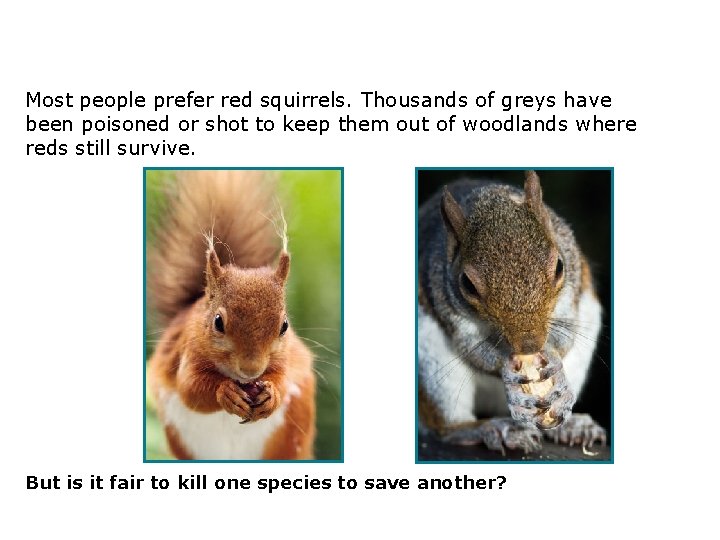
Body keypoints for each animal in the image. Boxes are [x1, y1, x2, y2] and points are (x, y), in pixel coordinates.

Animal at [147, 170, 315, 460]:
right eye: (218, 322)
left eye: (284, 326)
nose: (251, 370)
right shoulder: (187, 351)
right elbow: (190, 389)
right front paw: (224, 392)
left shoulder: (287, 358)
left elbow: (283, 380)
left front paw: (272, 394)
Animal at [418, 170, 606, 454]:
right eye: (467, 284)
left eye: (559, 267)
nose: (529, 344)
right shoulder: (446, 303)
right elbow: (472, 349)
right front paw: (506, 369)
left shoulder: (572, 287)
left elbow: (566, 334)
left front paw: (554, 362)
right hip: (432, 362)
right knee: (445, 426)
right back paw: (486, 428)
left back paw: (571, 423)